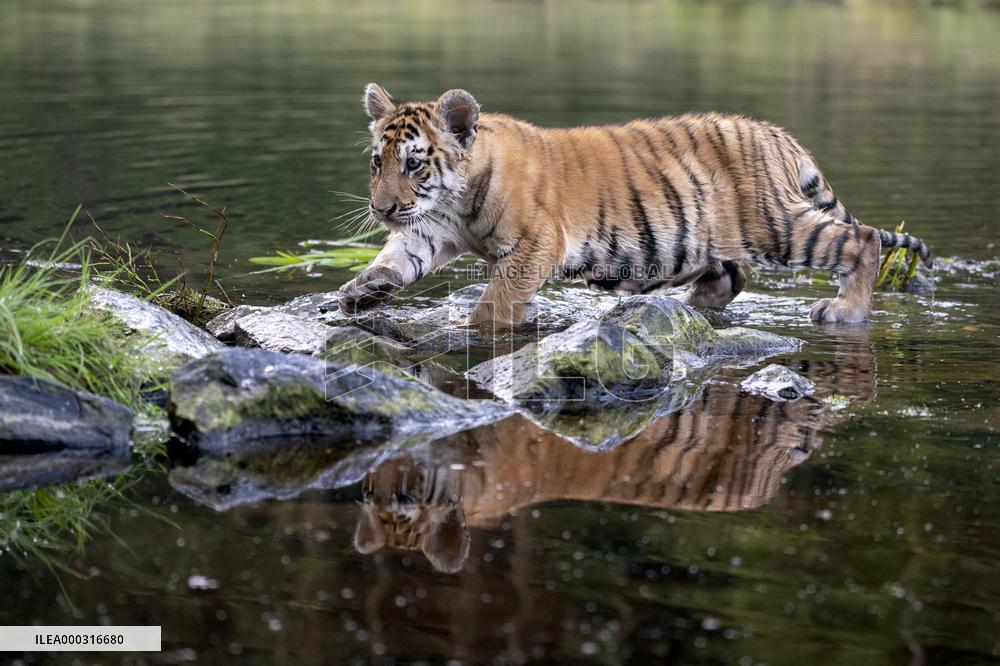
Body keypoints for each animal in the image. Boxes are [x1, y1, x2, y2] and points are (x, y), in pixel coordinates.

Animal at [339, 83, 932, 327]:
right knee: (731, 275)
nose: (382, 209)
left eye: (414, 164)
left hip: (777, 226)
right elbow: (396, 259)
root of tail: (774, 133)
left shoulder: (535, 245)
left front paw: (476, 329)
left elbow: (497, 301)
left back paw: (845, 312)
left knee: (862, 239)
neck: (457, 199)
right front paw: (359, 292)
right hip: (716, 236)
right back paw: (686, 307)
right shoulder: (430, 229)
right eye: (377, 163)